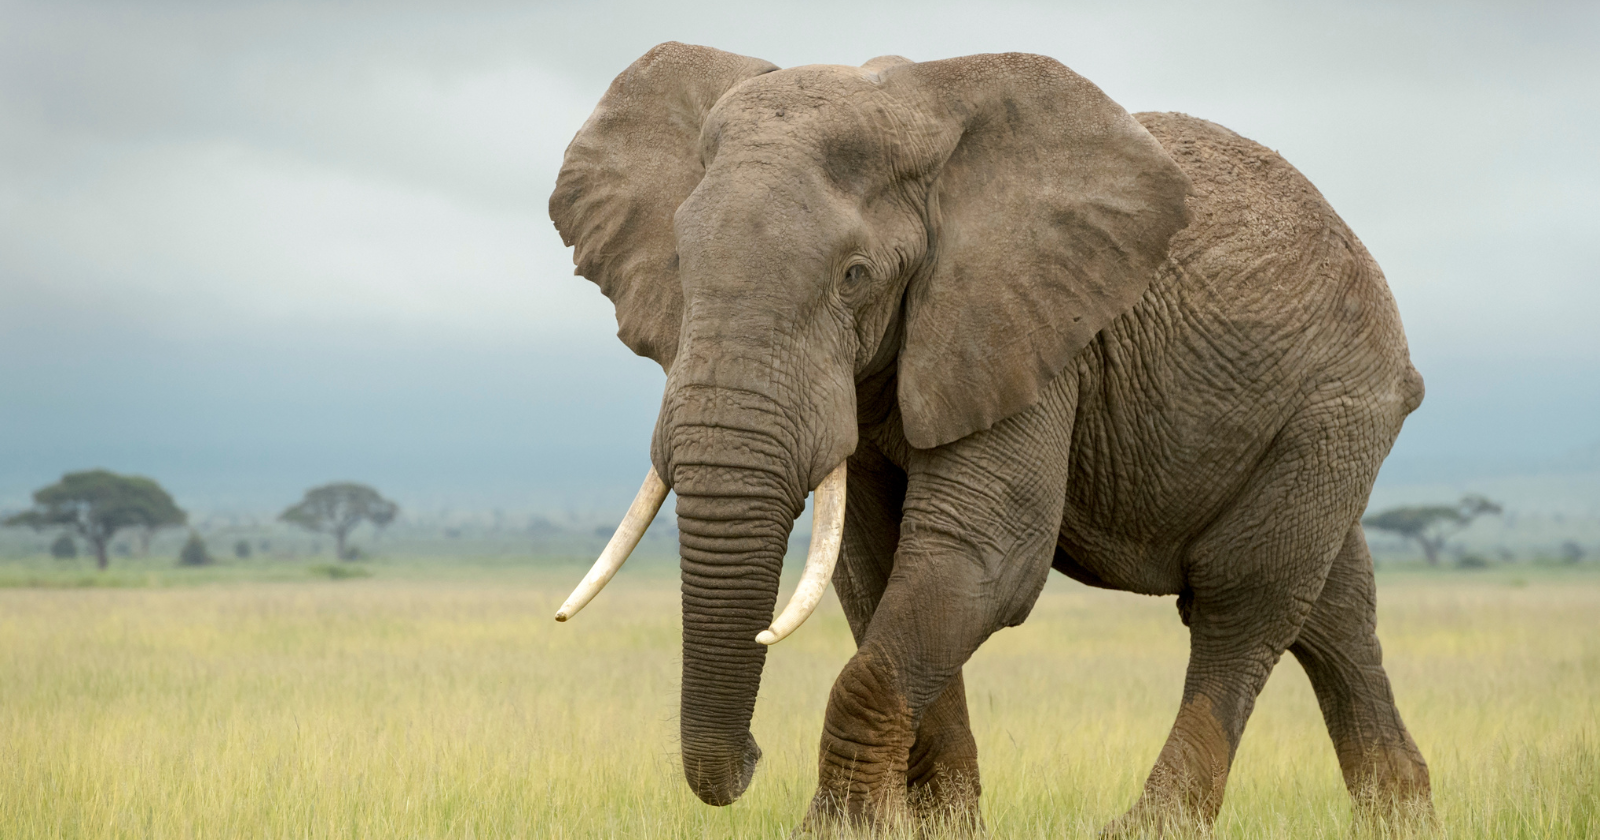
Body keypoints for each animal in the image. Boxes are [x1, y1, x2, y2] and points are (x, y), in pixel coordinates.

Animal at [548, 42, 1433, 835]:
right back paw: (1403, 816)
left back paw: (1151, 827)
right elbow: (877, 567)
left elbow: (983, 554)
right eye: (680, 266)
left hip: (1338, 404)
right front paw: (940, 826)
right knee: (1334, 609)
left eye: (854, 277)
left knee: (1244, 597)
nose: (753, 760)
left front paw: (841, 829)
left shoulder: (1033, 331)